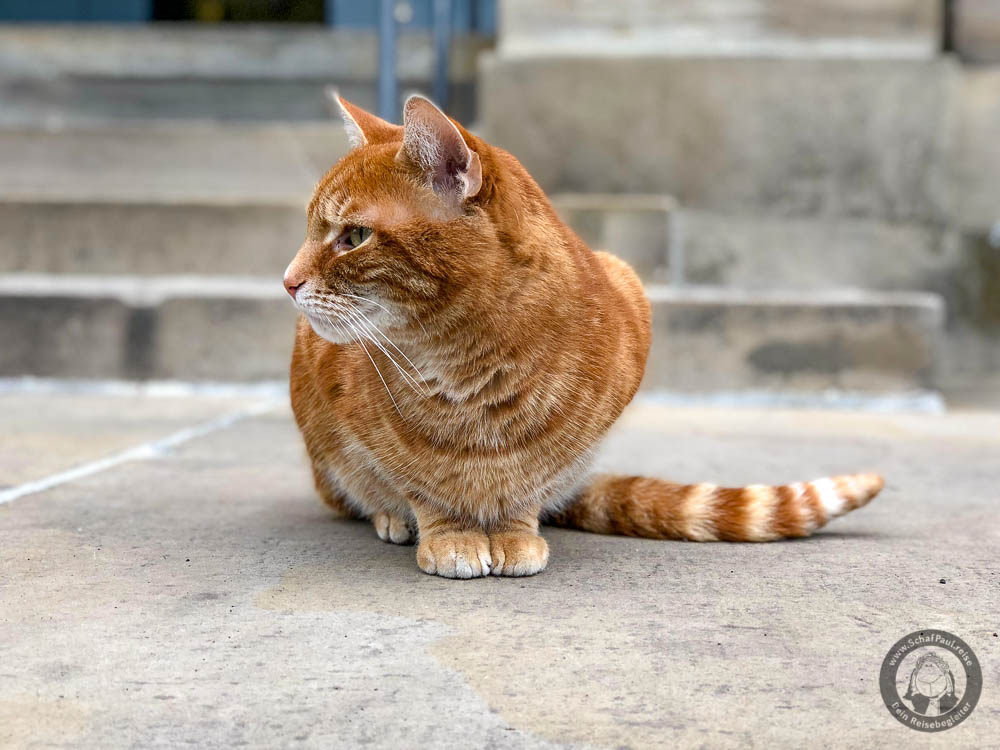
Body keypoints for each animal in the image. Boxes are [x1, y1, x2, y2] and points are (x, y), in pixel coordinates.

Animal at [284, 94, 884, 580]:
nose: (288, 283)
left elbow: (531, 482)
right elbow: (420, 485)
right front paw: (449, 532)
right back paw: (390, 516)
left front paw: (515, 531)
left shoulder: (625, 303)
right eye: (314, 230)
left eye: (354, 237)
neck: (470, 366)